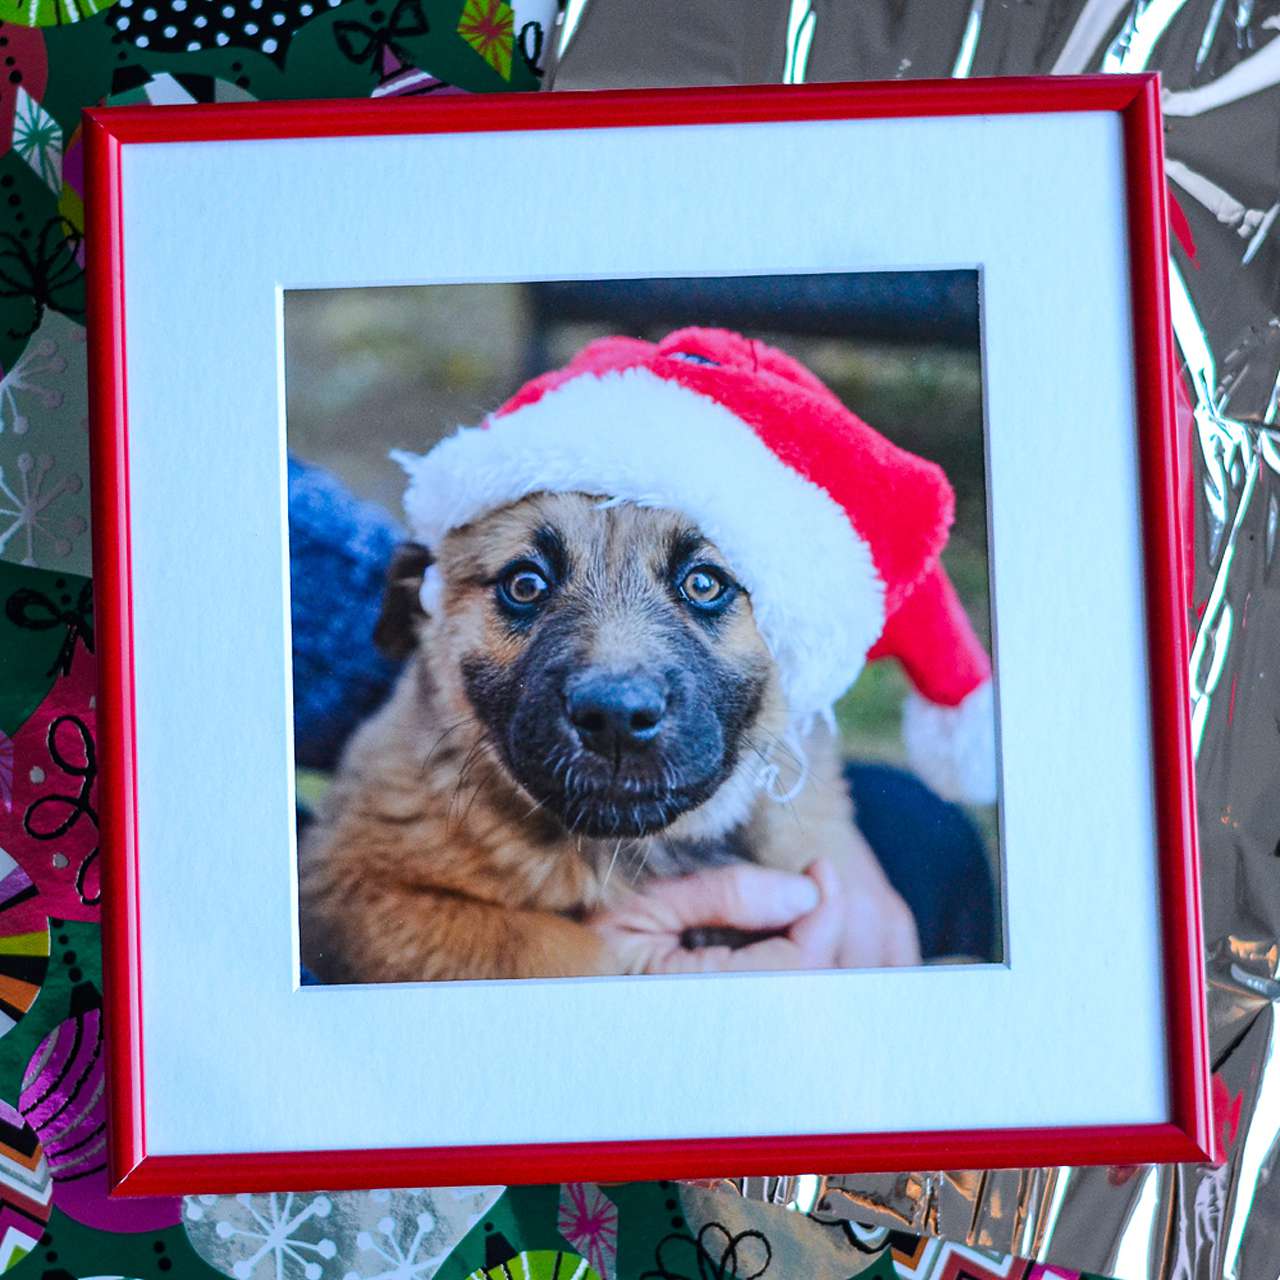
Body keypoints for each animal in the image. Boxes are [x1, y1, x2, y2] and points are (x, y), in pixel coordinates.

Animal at [299, 494, 921, 983]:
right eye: (525, 584)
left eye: (704, 583)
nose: (616, 717)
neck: (627, 852)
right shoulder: (349, 890)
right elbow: (554, 947)